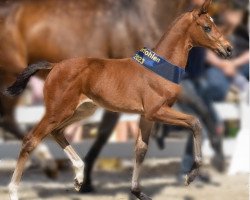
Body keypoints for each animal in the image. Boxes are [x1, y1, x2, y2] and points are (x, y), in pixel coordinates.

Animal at [5, 0, 231, 199]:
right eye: (207, 27)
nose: (228, 49)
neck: (160, 67)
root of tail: (54, 66)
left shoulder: (147, 116)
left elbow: (140, 149)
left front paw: (137, 192)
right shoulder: (156, 111)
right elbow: (195, 122)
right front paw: (191, 175)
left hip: (82, 110)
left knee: (56, 132)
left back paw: (79, 176)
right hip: (58, 110)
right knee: (31, 139)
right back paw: (15, 191)